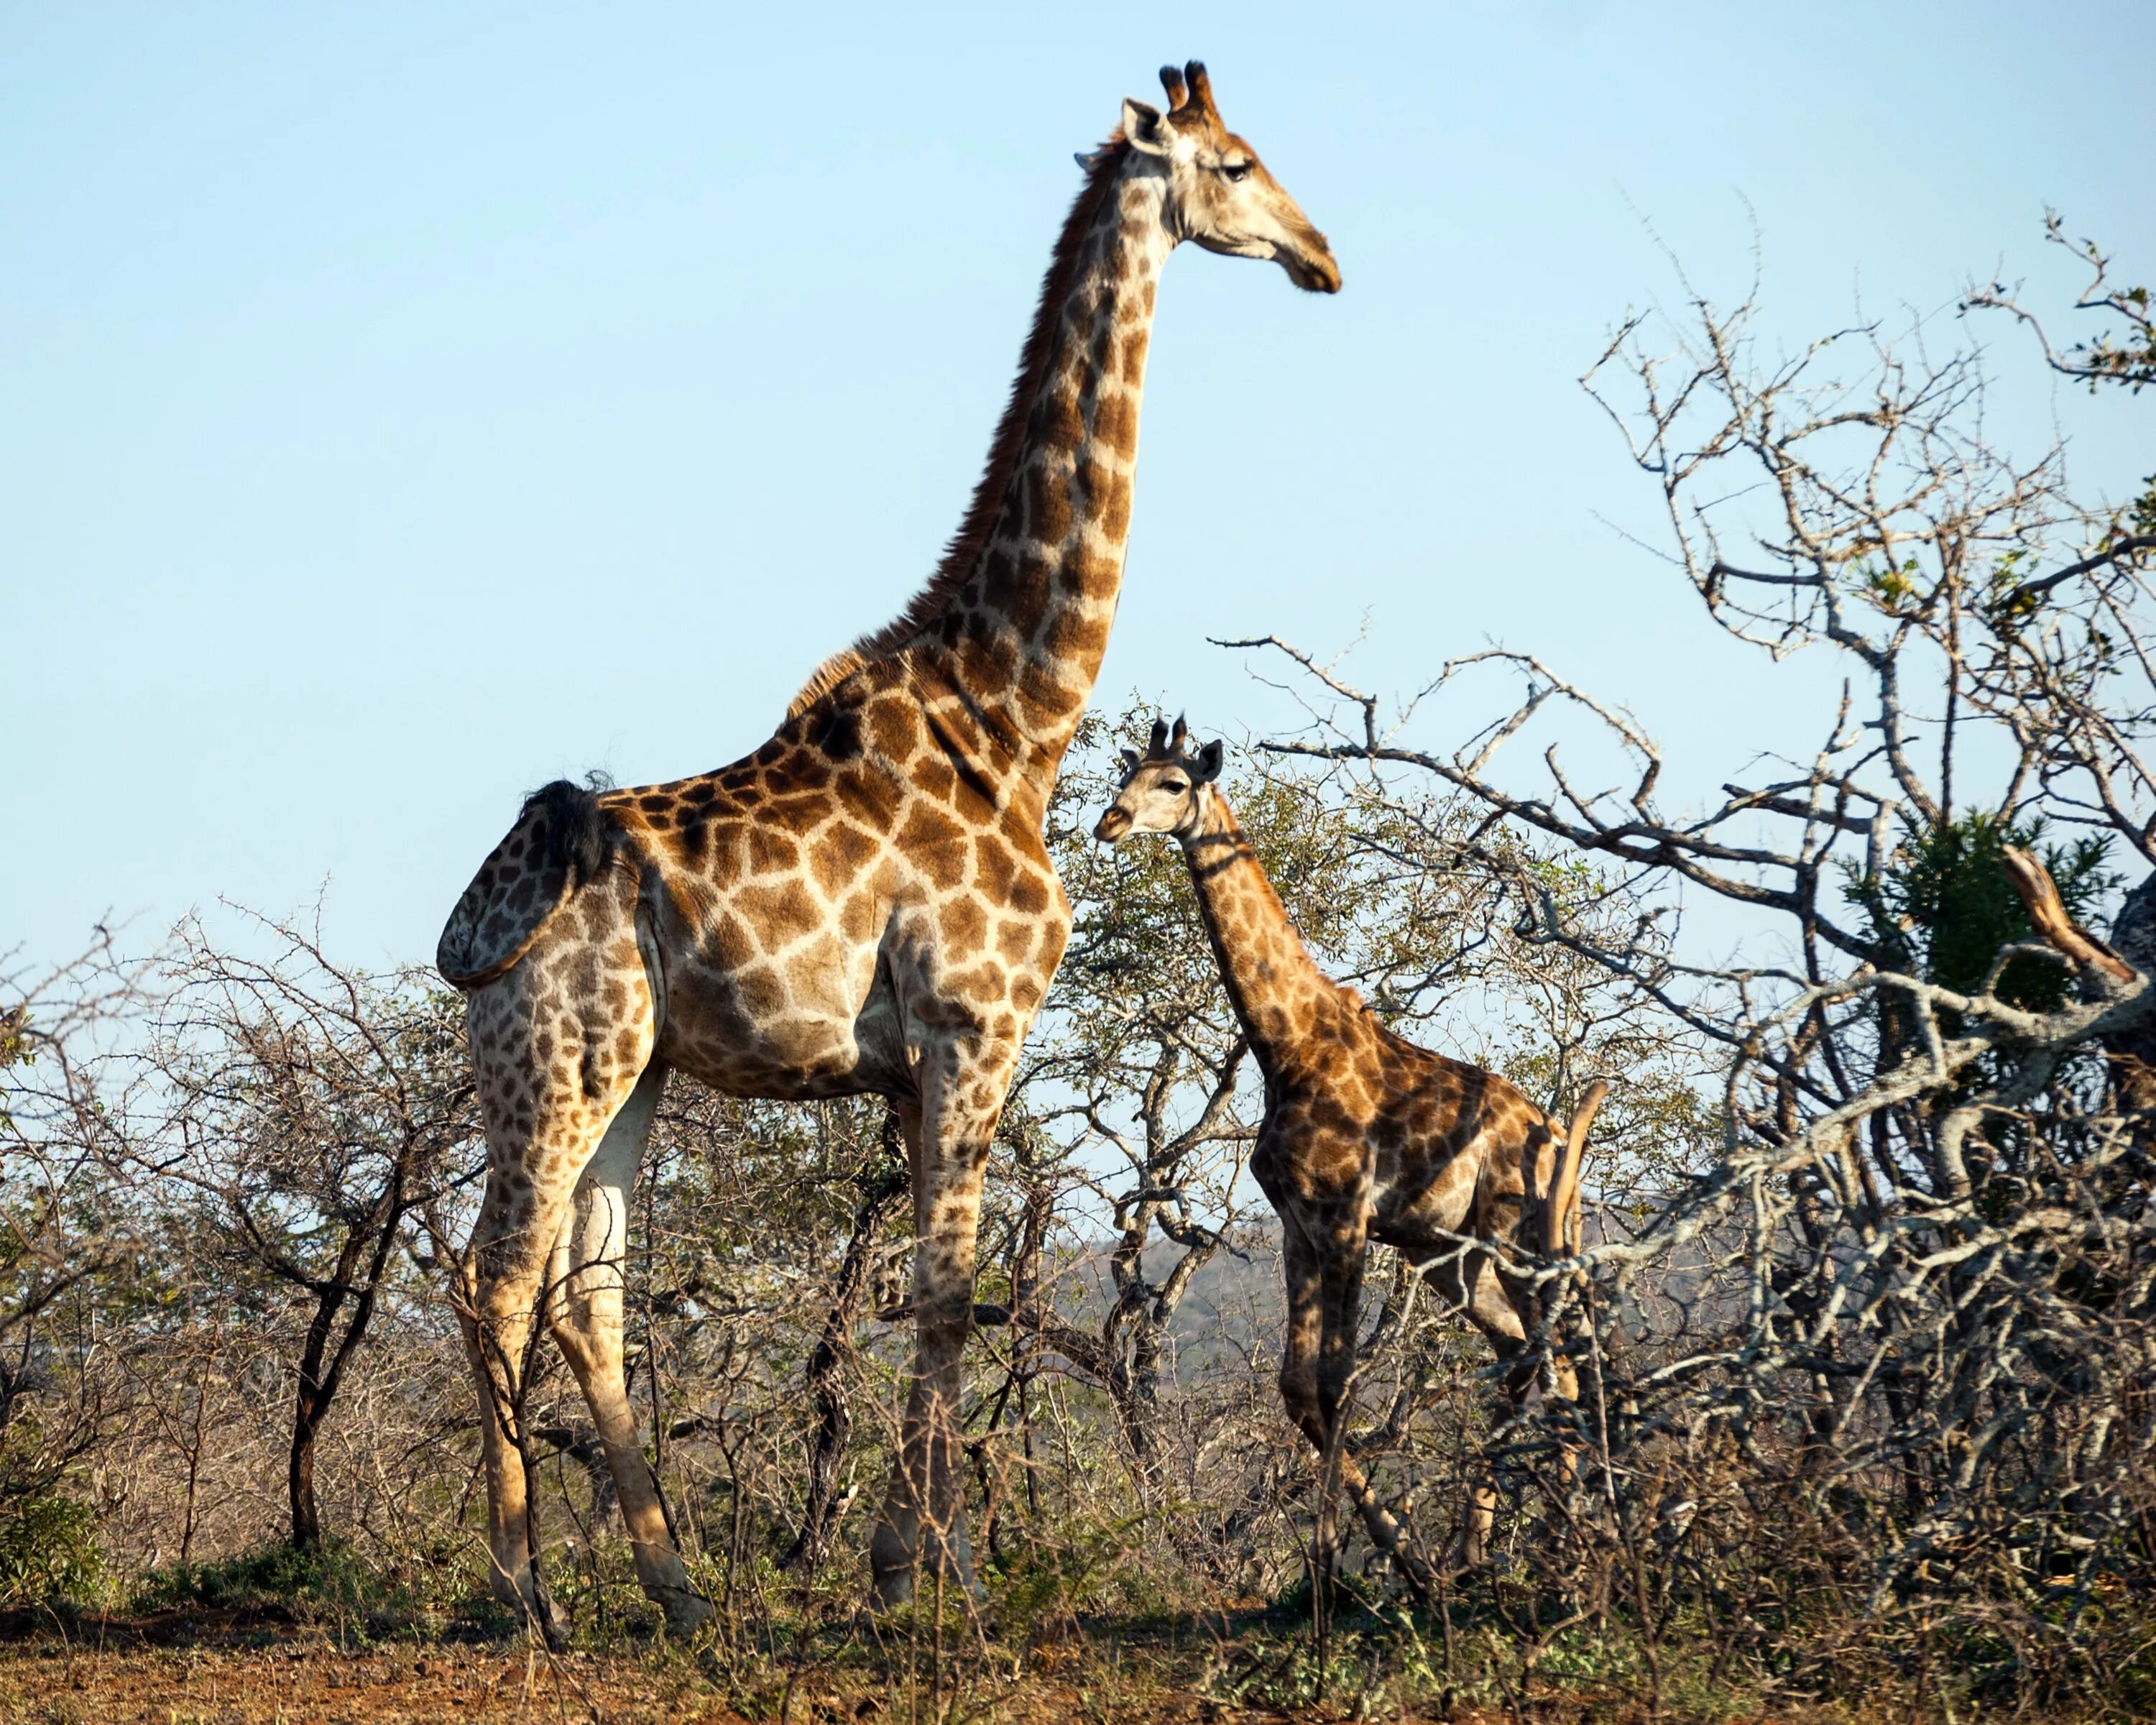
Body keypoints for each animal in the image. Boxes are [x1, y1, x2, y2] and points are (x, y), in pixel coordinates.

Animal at [431, 64, 1337, 1630]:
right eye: (1234, 164)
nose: (1321, 255)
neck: (1018, 711)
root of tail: (473, 930)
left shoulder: (923, 1057)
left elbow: (941, 1291)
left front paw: (927, 1560)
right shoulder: (976, 1024)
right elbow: (952, 1292)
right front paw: (925, 1574)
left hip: (629, 1073)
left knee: (582, 1295)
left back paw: (679, 1590)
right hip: (556, 1062)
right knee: (496, 1279)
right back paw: (521, 1591)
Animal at [1095, 720, 1604, 1587]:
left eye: (1175, 784)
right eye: (1124, 774)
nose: (1111, 822)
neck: (1287, 1045)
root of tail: (1556, 1135)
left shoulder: (1344, 1219)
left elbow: (1336, 1383)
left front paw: (1332, 1565)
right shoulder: (1299, 1226)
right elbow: (1298, 1387)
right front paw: (1386, 1558)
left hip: (1522, 1236)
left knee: (1559, 1360)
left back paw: (1554, 1554)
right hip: (1449, 1255)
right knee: (1517, 1353)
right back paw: (1470, 1554)